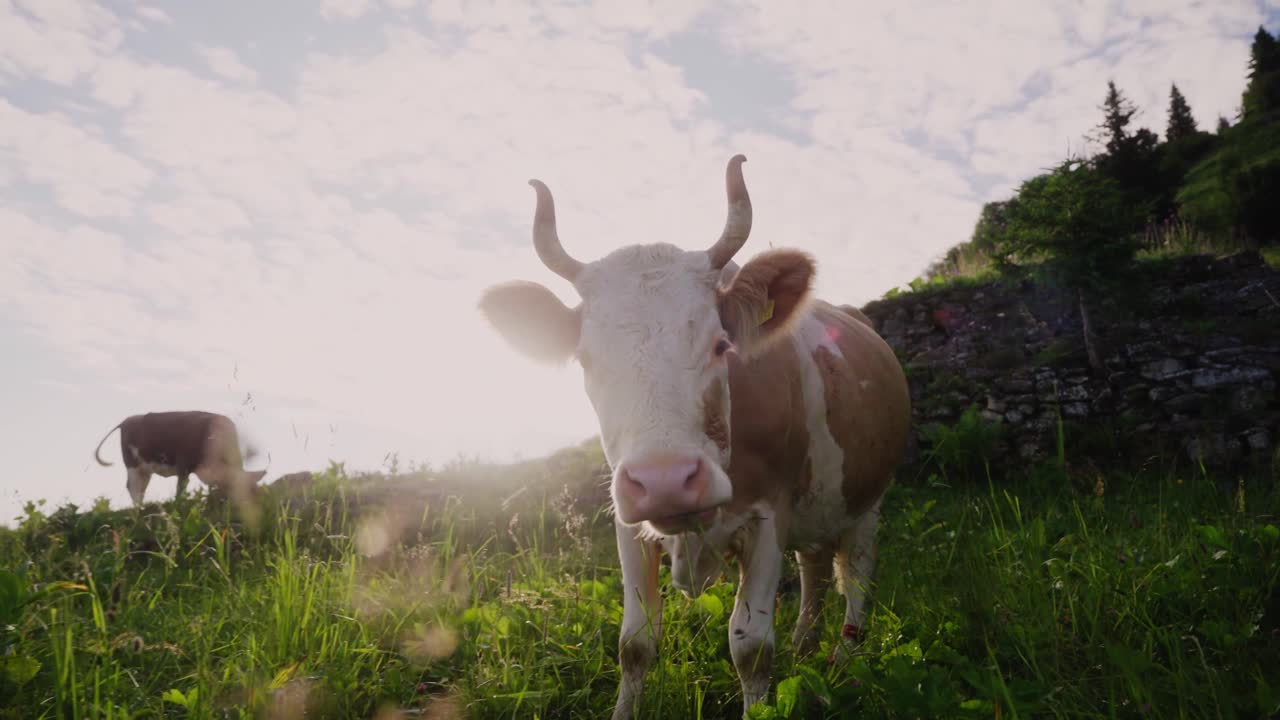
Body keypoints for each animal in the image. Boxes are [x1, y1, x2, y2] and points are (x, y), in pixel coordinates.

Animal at [93, 411, 267, 506]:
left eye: (255, 489)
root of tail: (127, 420)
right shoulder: (183, 464)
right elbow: (180, 488)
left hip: (145, 469)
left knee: (140, 488)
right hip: (133, 464)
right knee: (133, 487)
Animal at [478, 155, 911, 718]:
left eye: (721, 344)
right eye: (585, 360)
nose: (666, 481)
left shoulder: (769, 513)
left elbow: (750, 648)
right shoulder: (629, 525)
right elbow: (635, 643)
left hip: (868, 498)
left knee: (856, 573)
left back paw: (849, 662)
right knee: (815, 565)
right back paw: (805, 644)